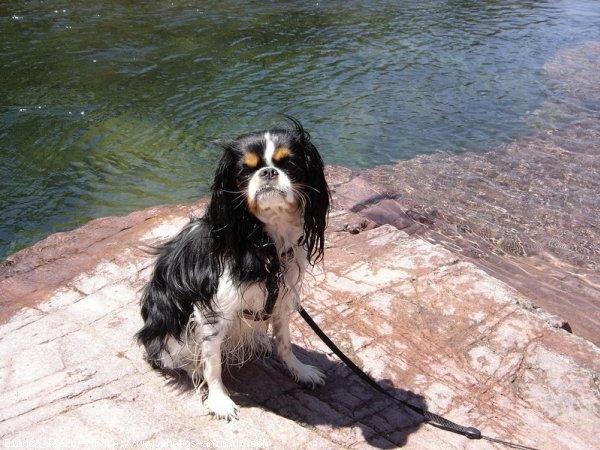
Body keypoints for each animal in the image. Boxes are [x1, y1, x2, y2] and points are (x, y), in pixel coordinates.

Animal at [137, 118, 330, 420]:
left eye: (289, 164)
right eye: (245, 170)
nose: (268, 172)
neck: (267, 241)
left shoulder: (283, 295)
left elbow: (284, 341)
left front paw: (299, 370)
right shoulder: (212, 310)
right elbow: (212, 364)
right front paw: (219, 400)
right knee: (171, 357)